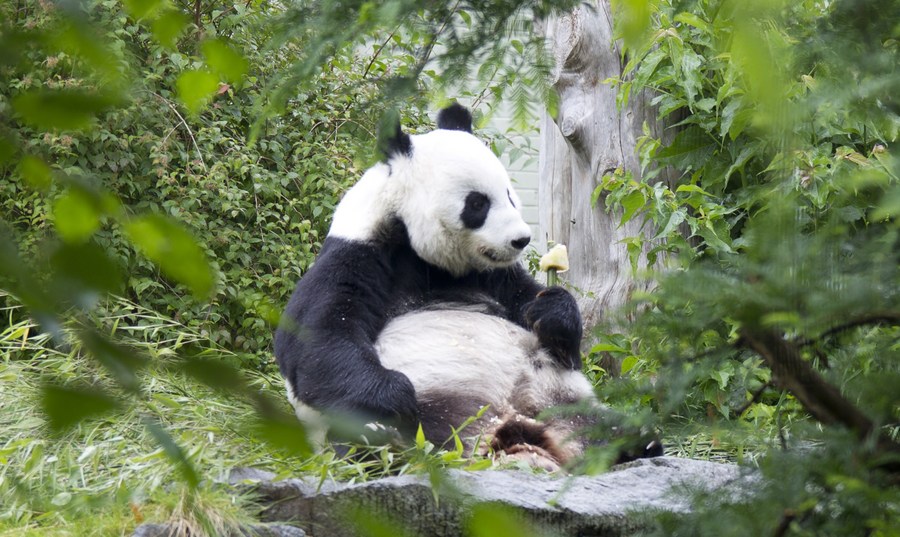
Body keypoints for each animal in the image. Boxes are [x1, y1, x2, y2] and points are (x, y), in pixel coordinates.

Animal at [274, 104, 660, 468]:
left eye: (509, 194)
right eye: (477, 203)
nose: (521, 239)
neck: (423, 253)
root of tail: (508, 432)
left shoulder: (491, 274)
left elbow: (533, 307)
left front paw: (552, 312)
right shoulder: (359, 254)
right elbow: (315, 340)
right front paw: (397, 395)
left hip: (560, 401)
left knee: (614, 426)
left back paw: (637, 446)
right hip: (431, 417)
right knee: (370, 441)